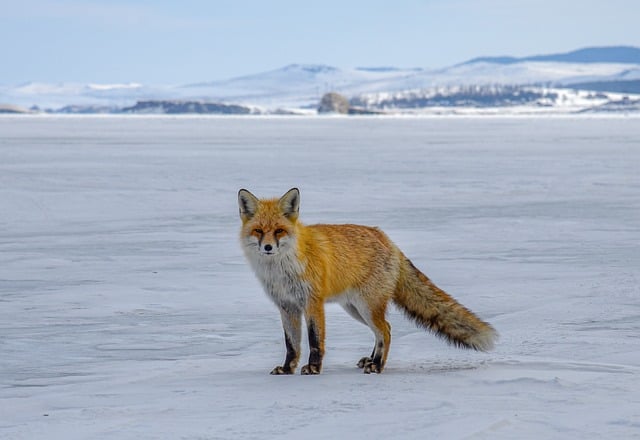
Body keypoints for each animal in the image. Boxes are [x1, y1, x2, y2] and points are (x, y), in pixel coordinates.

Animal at [238, 187, 497, 375]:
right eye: (259, 231)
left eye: (279, 231)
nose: (268, 247)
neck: (282, 269)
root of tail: (388, 240)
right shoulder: (287, 306)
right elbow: (292, 344)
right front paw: (287, 368)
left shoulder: (313, 303)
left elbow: (314, 341)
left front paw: (313, 368)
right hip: (356, 309)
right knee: (382, 330)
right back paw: (371, 360)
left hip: (367, 307)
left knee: (386, 331)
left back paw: (378, 365)